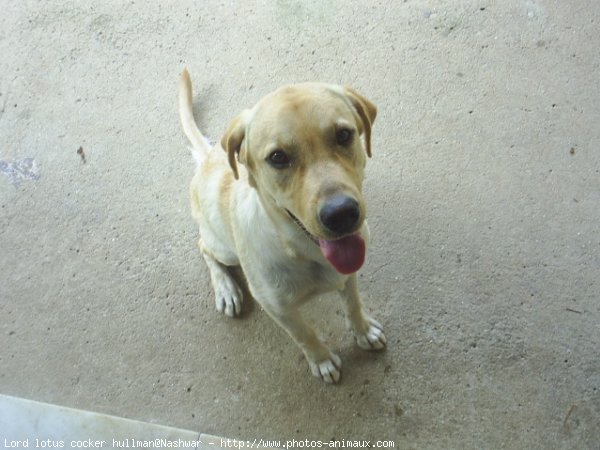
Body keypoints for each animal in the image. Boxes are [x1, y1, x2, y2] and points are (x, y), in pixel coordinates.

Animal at [178, 70, 384, 384]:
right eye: (278, 157)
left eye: (344, 135)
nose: (341, 214)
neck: (304, 251)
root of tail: (209, 157)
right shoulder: (278, 308)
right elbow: (304, 335)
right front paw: (322, 360)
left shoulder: (349, 275)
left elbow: (353, 303)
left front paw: (363, 330)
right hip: (225, 249)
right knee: (204, 248)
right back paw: (226, 289)